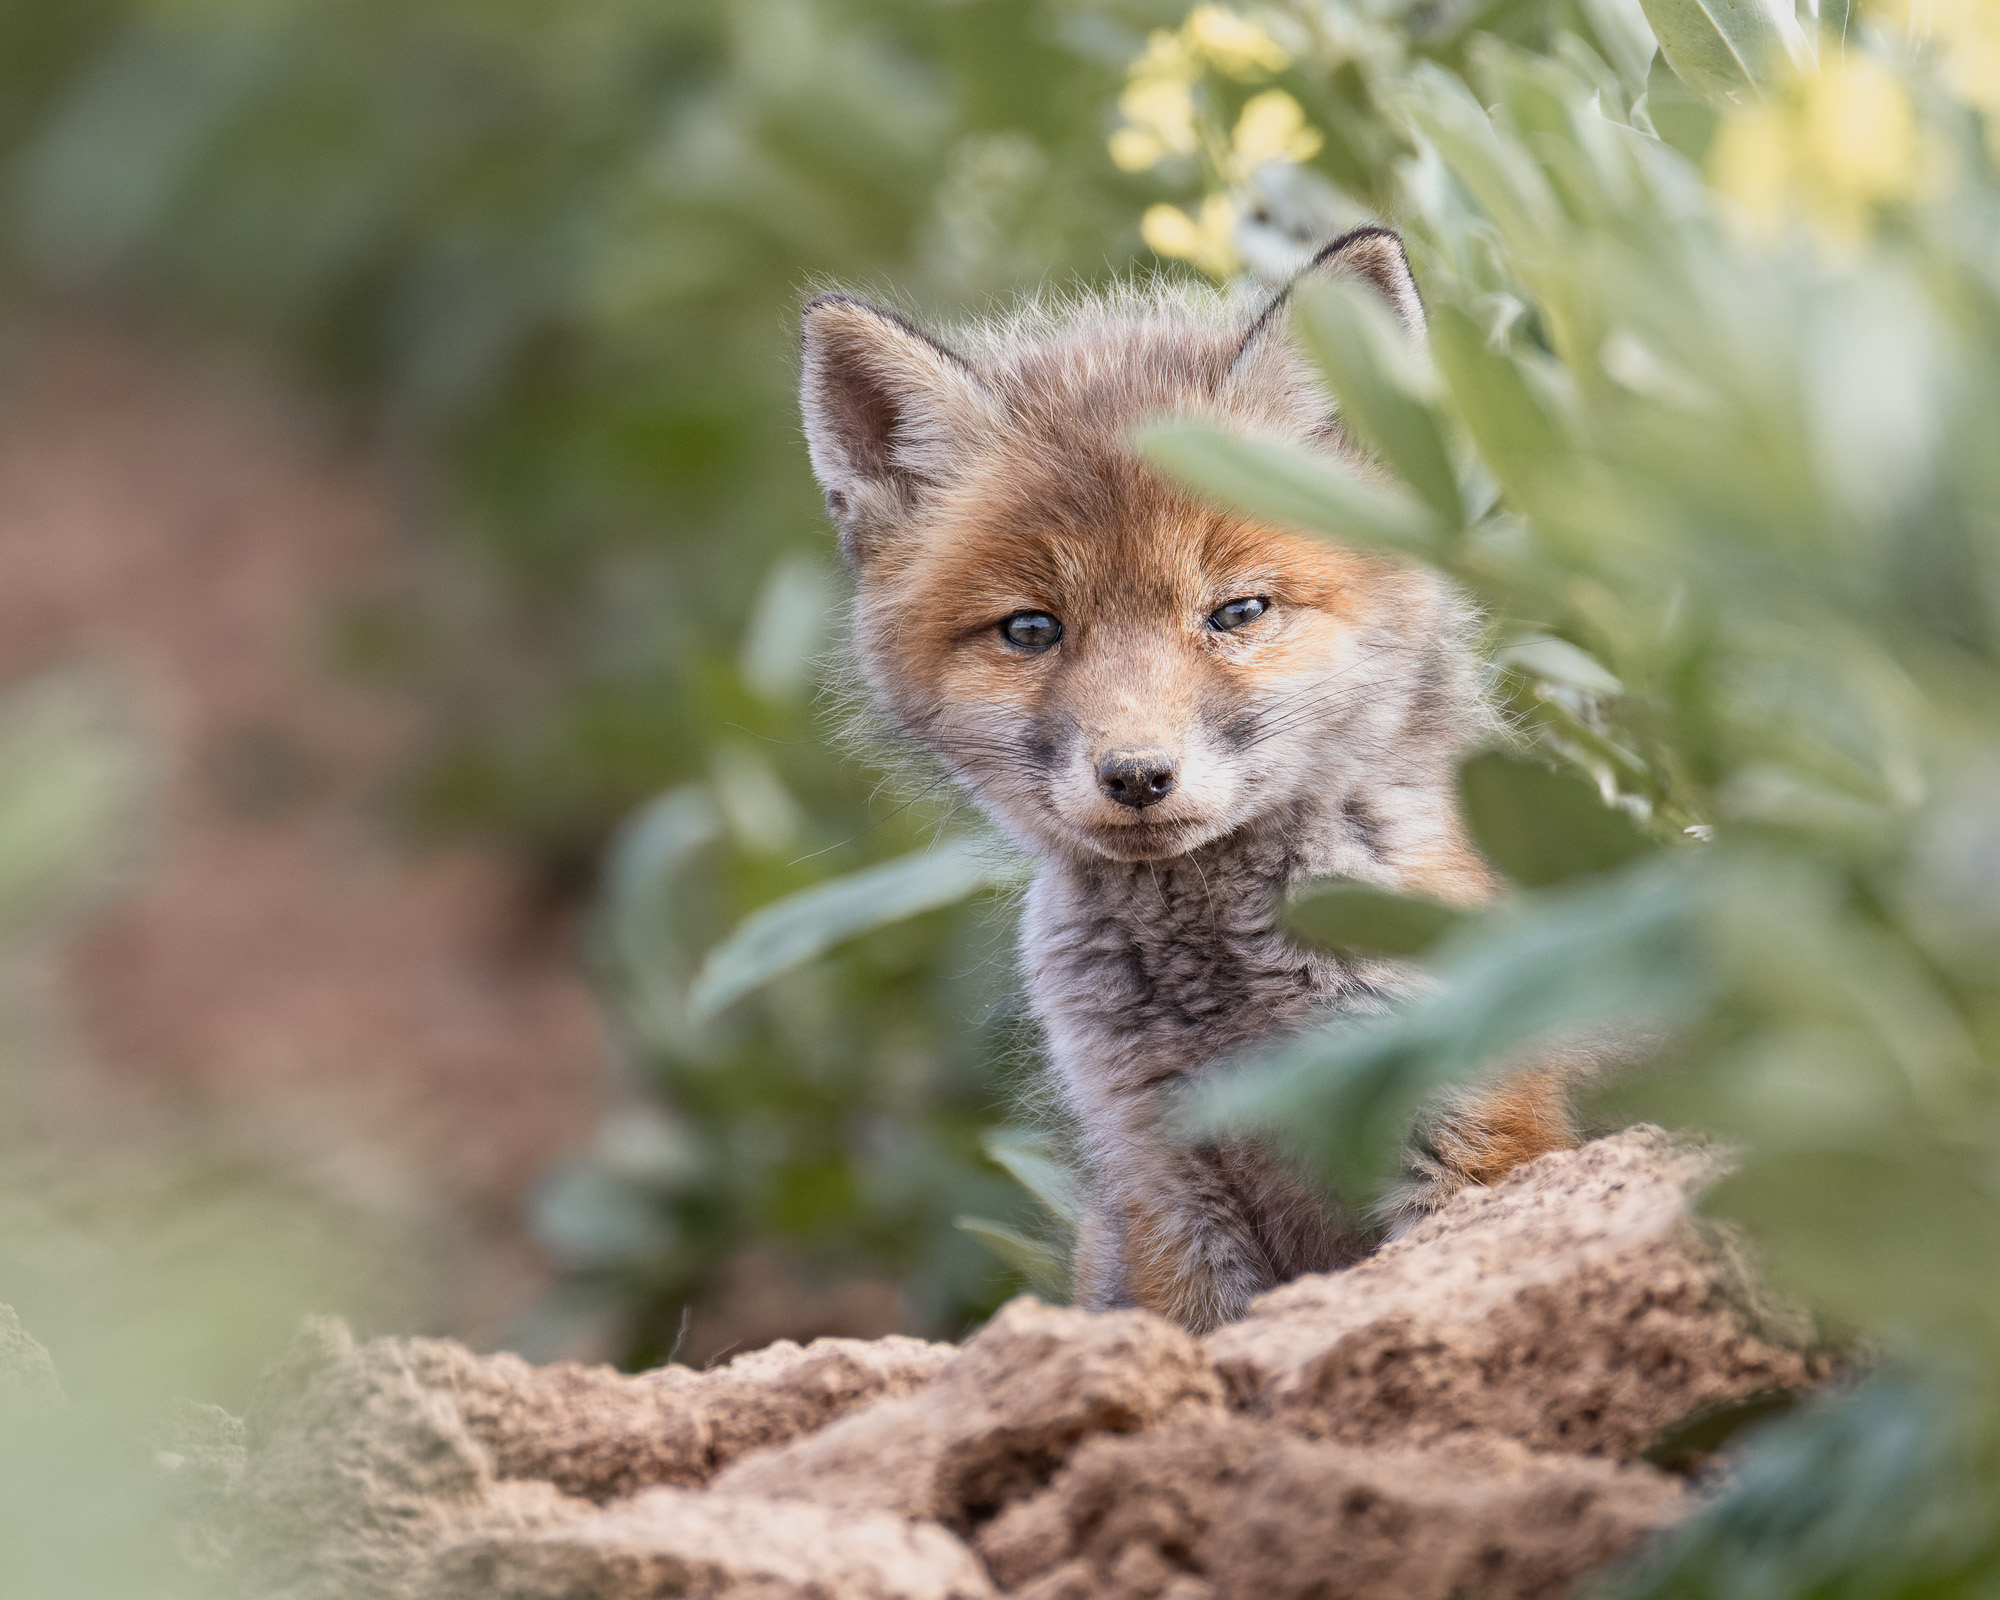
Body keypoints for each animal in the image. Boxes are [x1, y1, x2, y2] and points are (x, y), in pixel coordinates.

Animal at [799, 228, 1580, 1333]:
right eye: (1031, 628)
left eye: (1237, 611)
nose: (1135, 775)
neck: (1229, 993)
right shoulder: (1157, 1172)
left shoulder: (1471, 1119)